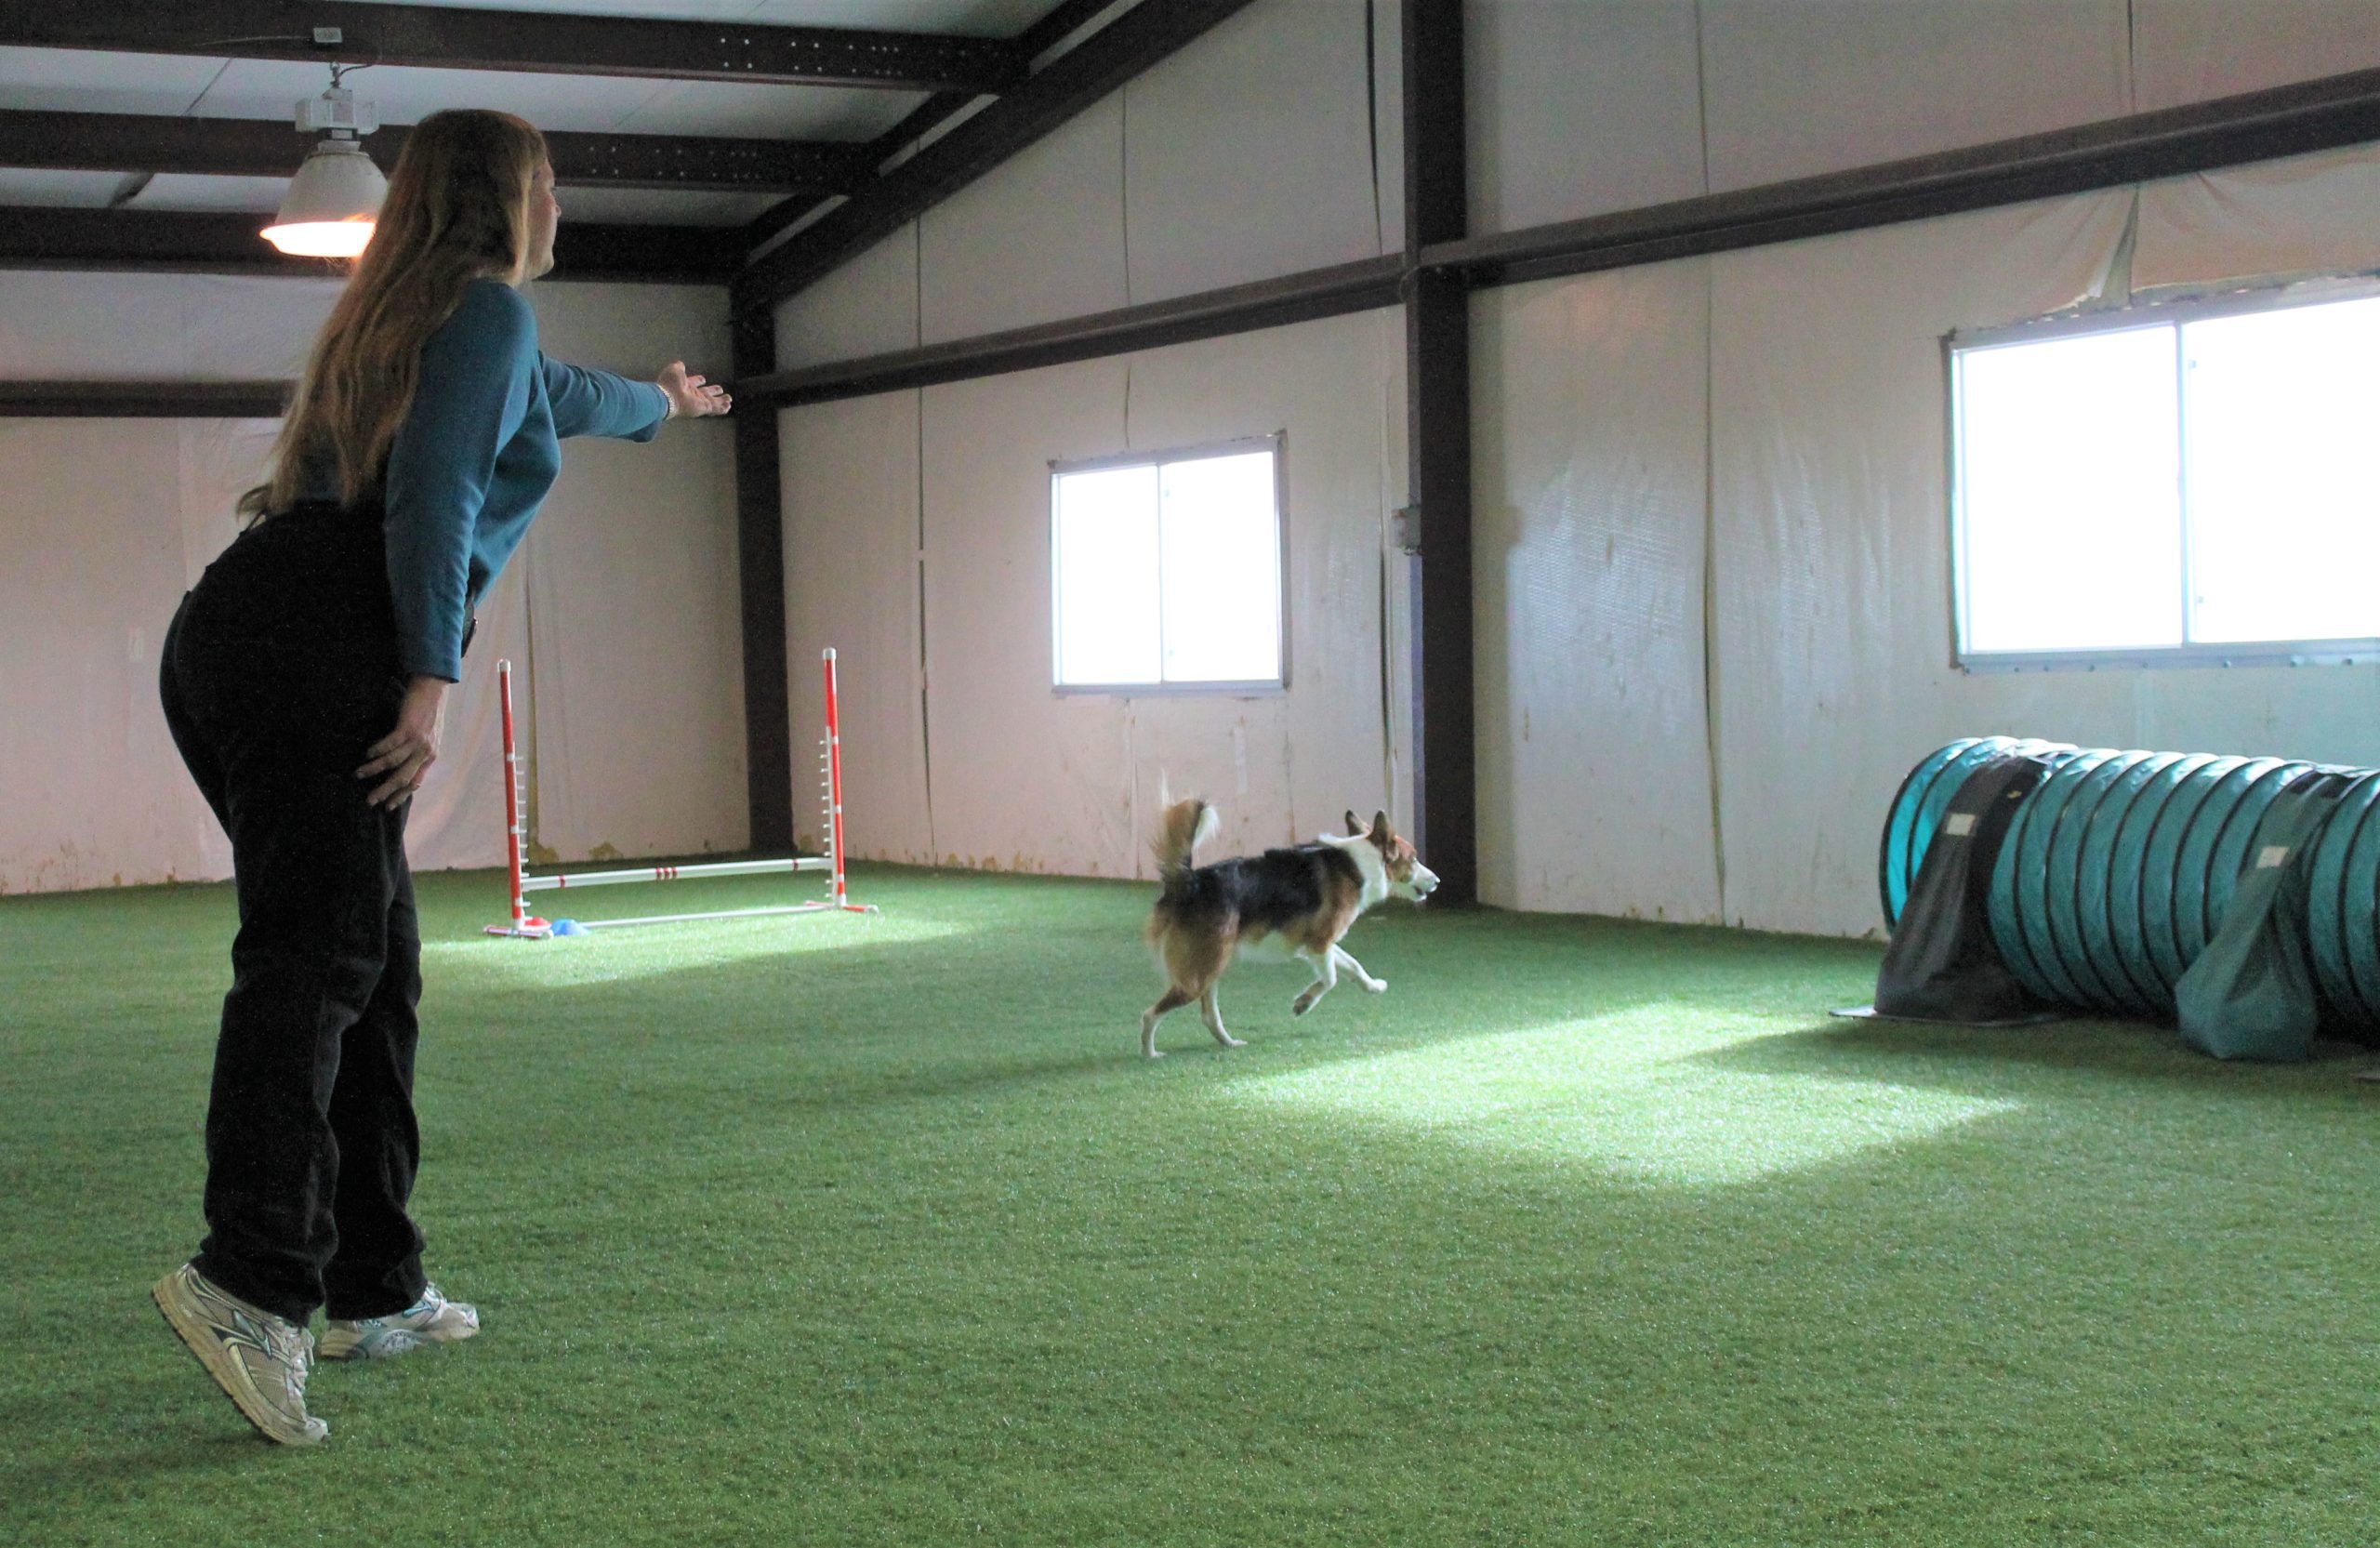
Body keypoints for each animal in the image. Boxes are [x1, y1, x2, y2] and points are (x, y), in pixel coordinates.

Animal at [1142, 800, 1437, 1052]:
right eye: (1413, 859)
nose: (1437, 881)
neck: (1359, 862)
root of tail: (1191, 882)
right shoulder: (1319, 943)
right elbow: (1330, 979)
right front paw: (1304, 1003)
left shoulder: (1320, 942)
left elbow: (1353, 966)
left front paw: (1373, 986)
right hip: (1199, 975)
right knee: (1149, 1014)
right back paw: (1149, 1053)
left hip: (1211, 966)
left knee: (1208, 1015)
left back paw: (1229, 1043)